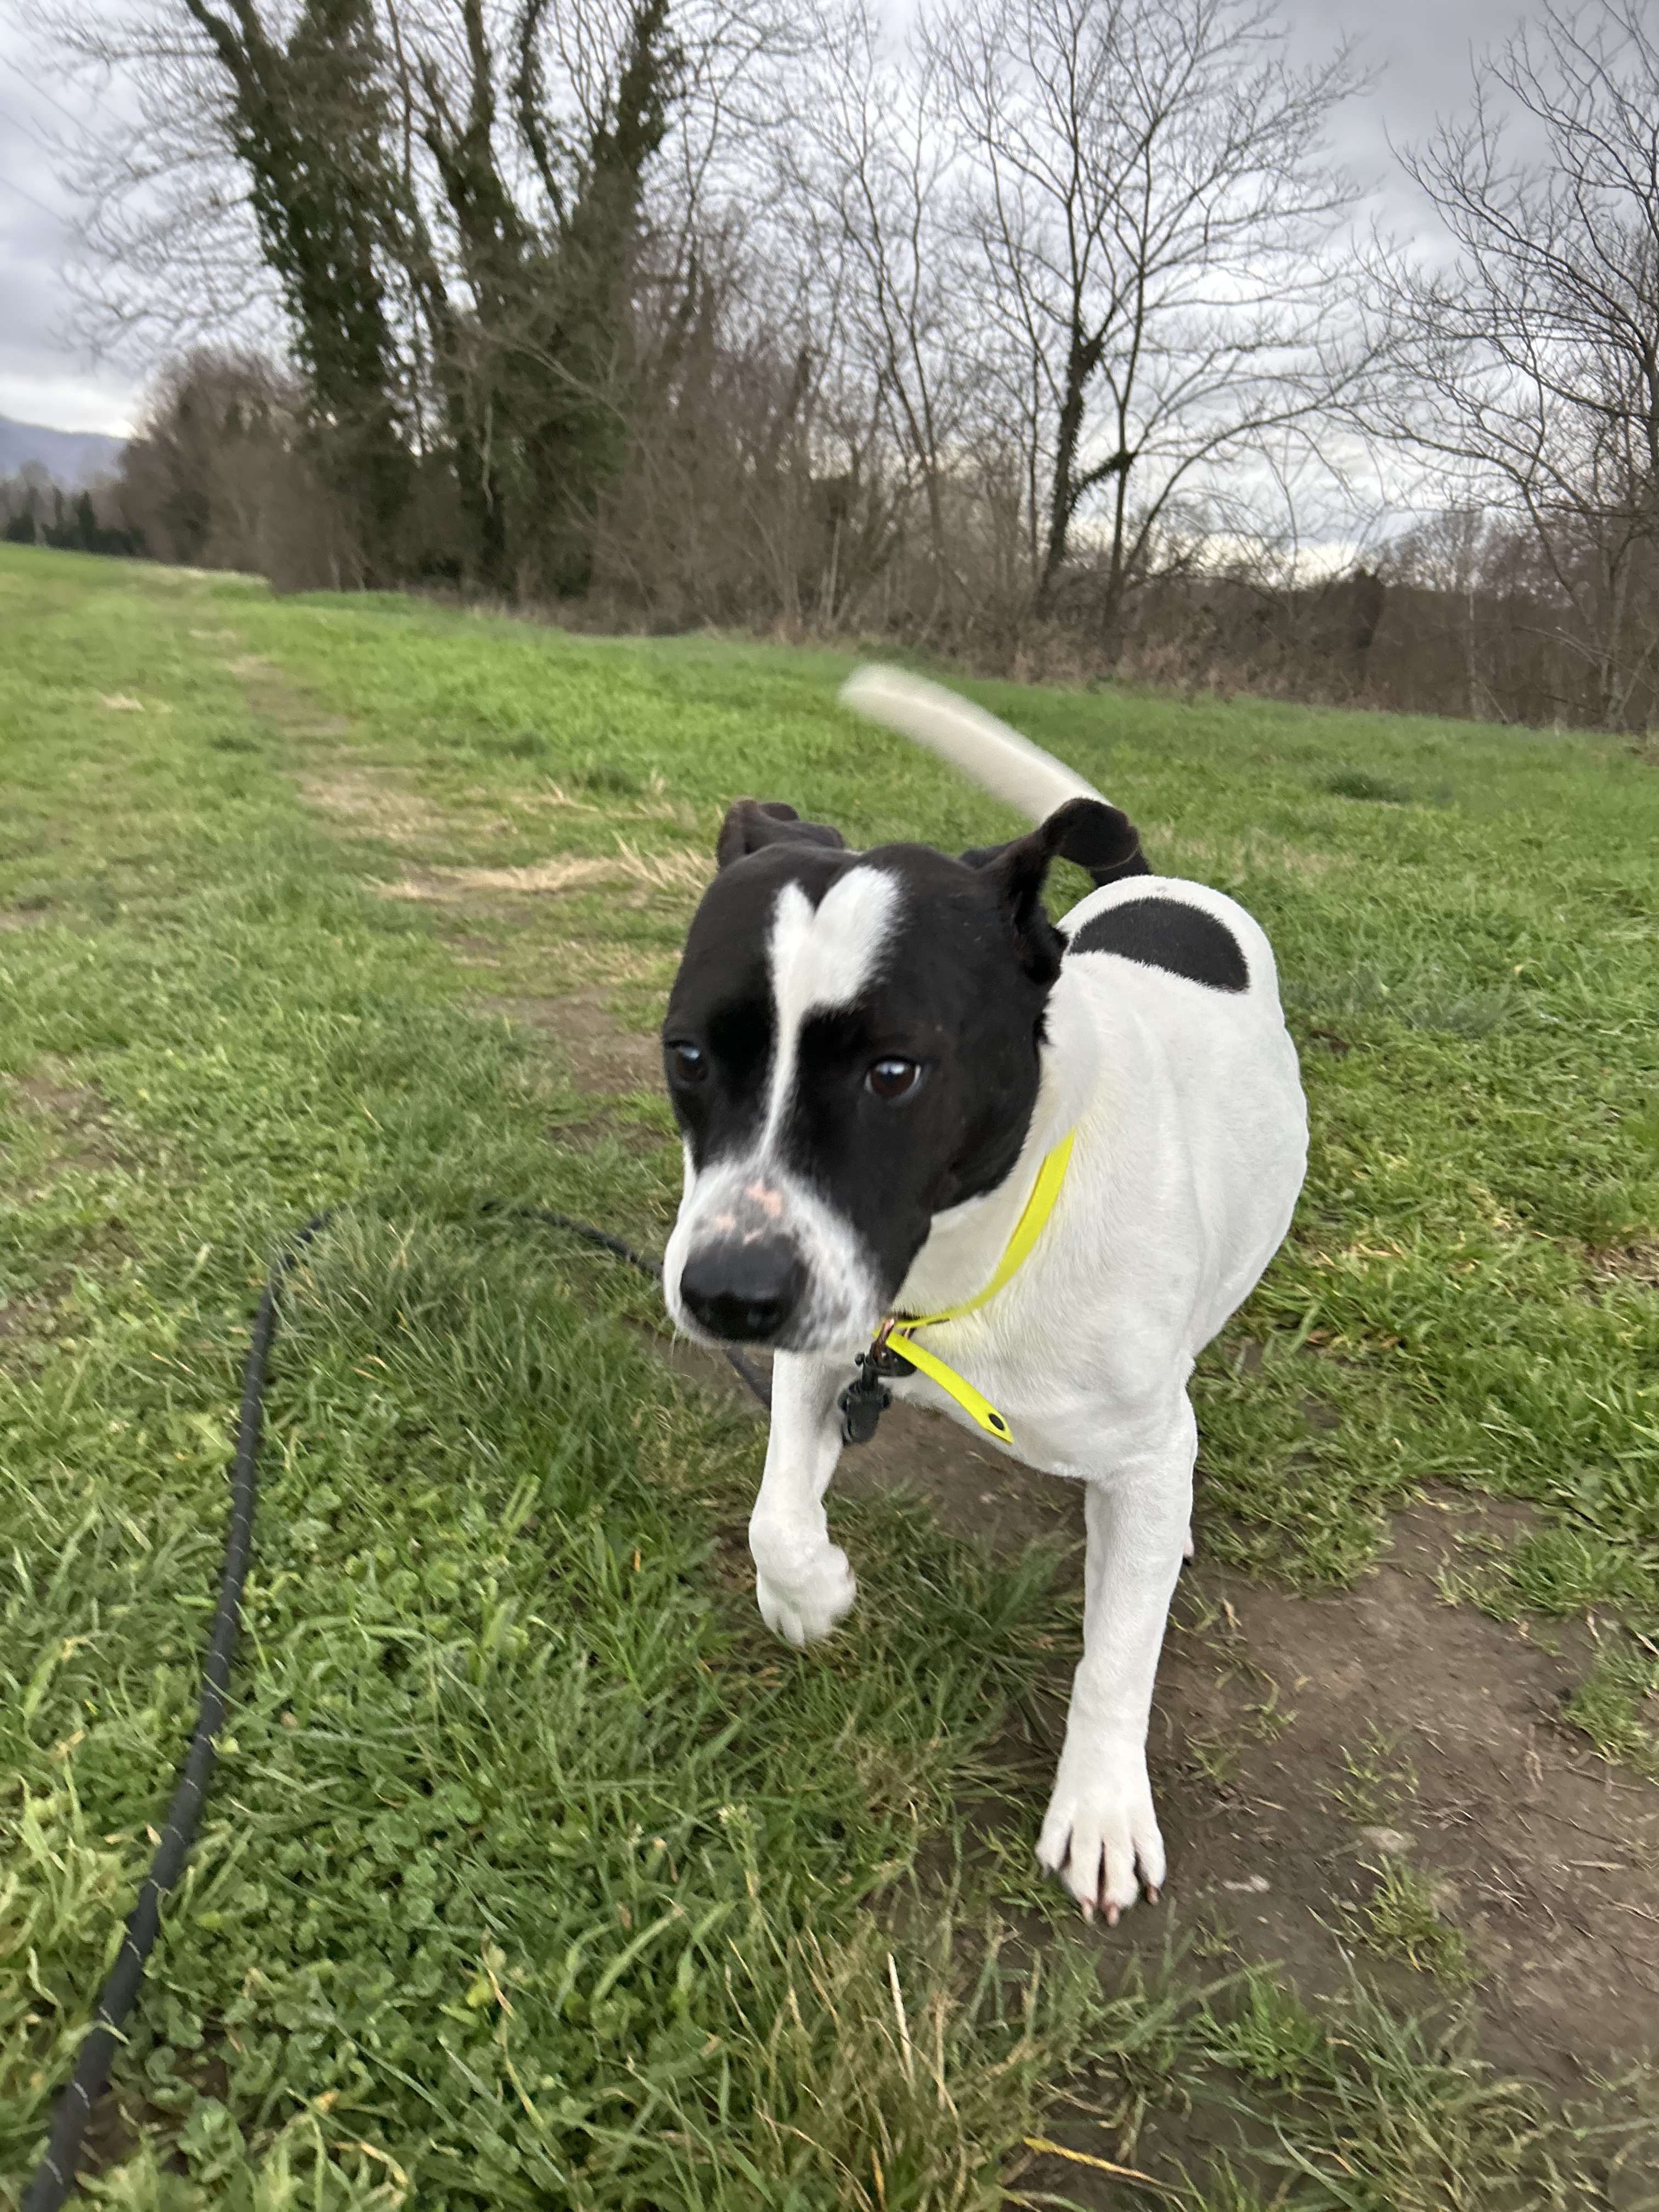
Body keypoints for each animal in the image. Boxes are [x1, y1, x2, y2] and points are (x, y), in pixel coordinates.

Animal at [660, 668, 1307, 1921]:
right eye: (689, 1057)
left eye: (894, 1073)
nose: (726, 1297)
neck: (974, 1263)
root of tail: (1147, 880)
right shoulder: (828, 1346)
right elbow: (776, 1513)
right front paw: (809, 1591)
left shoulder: (1140, 1443)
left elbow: (1117, 1654)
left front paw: (1100, 1806)